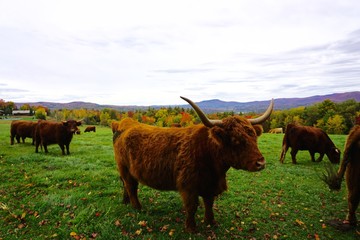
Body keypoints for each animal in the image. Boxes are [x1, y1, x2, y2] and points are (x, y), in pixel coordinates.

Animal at [112, 96, 272, 232]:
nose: (261, 162)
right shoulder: (188, 186)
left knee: (126, 185)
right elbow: (192, 207)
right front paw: (191, 228)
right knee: (131, 186)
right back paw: (137, 207)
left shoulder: (210, 185)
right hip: (124, 168)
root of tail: (125, 126)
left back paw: (126, 201)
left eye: (254, 136)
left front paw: (211, 222)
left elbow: (209, 203)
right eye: (235, 140)